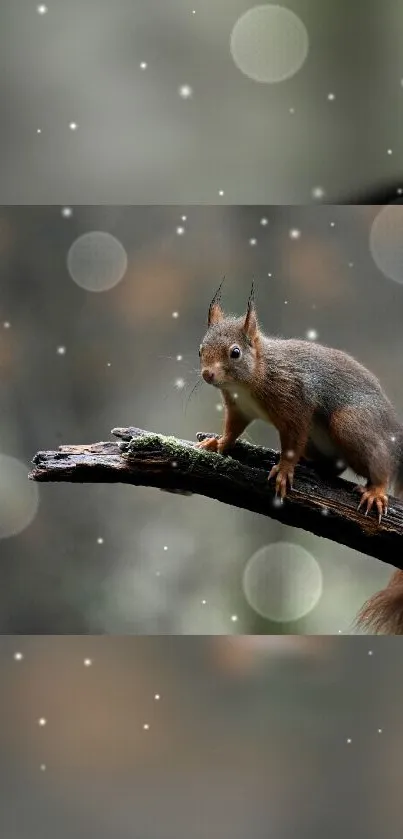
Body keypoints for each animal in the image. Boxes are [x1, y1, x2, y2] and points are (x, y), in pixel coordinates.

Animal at [197, 278, 403, 632]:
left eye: (235, 353)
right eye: (200, 349)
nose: (208, 374)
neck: (254, 375)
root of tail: (394, 432)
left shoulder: (295, 404)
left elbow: (291, 440)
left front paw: (284, 469)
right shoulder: (238, 409)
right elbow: (232, 431)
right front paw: (217, 444)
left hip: (350, 424)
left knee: (381, 463)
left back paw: (376, 489)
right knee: (333, 466)